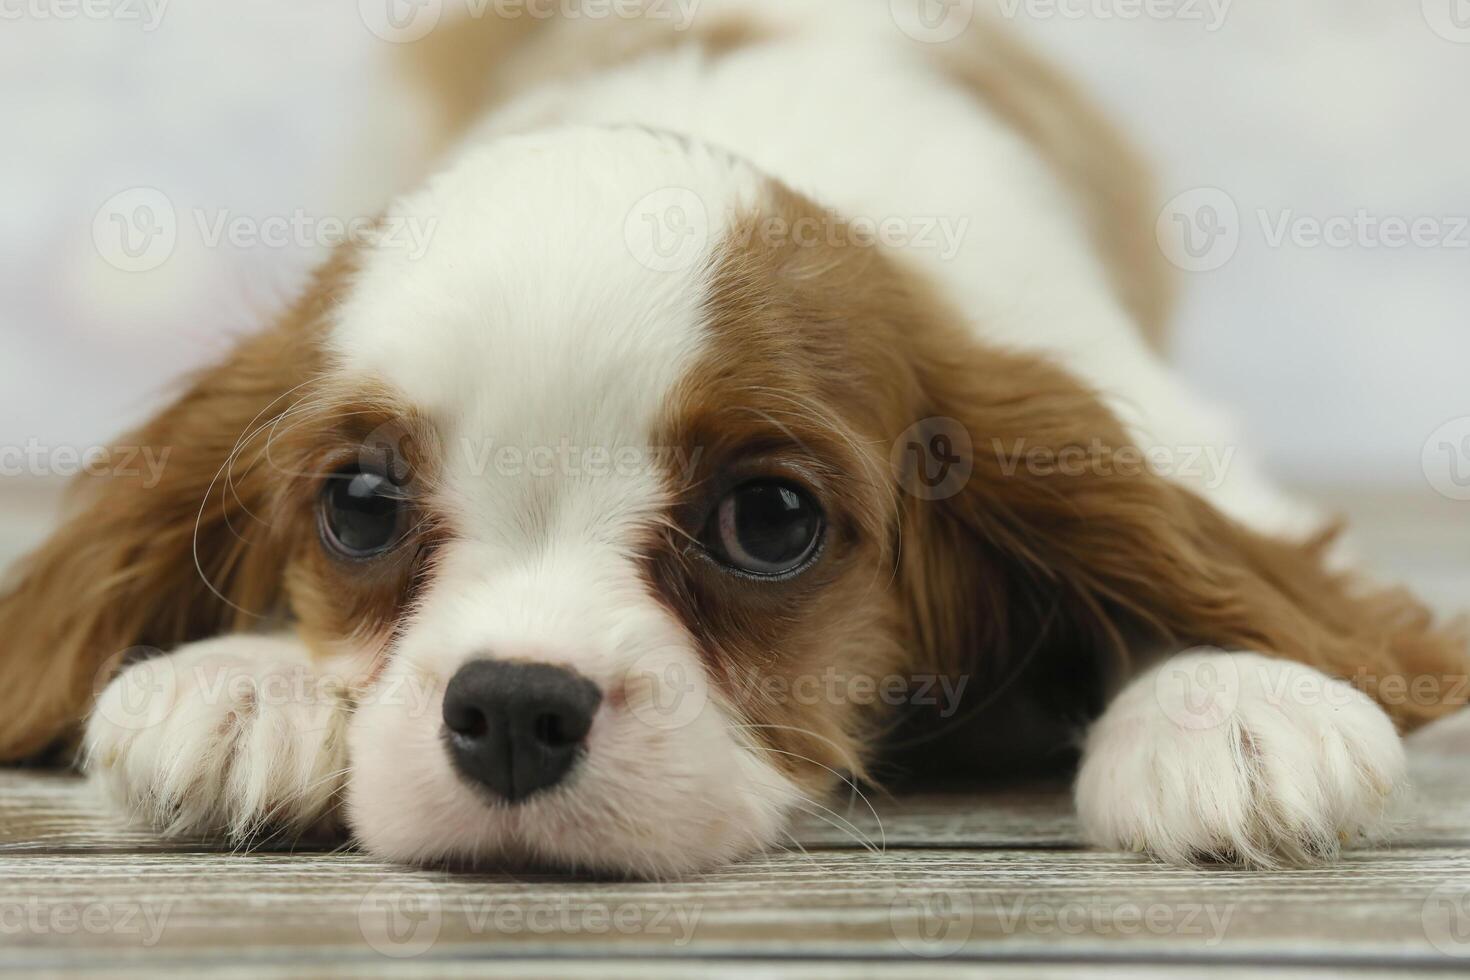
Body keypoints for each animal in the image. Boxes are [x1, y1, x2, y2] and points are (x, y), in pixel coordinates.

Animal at [0, 0, 1464, 875]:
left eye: (770, 521)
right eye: (357, 505)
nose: (514, 708)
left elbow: (1232, 559)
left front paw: (1233, 700)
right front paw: (245, 679)